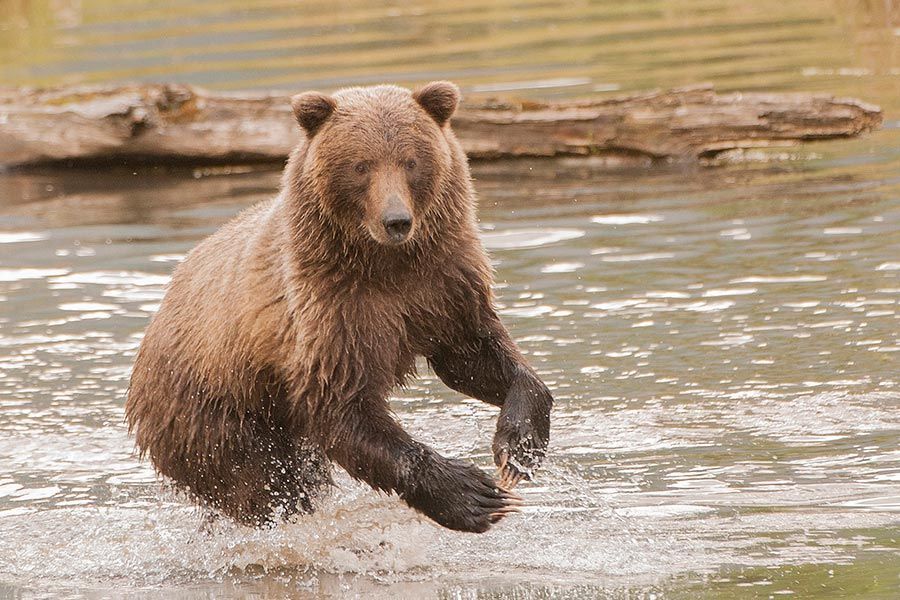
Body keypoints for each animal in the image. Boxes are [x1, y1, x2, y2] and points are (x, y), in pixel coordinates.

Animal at [125, 81, 553, 533]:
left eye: (411, 161)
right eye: (361, 165)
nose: (396, 221)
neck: (384, 264)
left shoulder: (443, 284)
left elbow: (473, 356)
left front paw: (519, 445)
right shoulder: (330, 311)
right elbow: (343, 408)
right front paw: (473, 494)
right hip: (210, 410)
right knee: (258, 484)